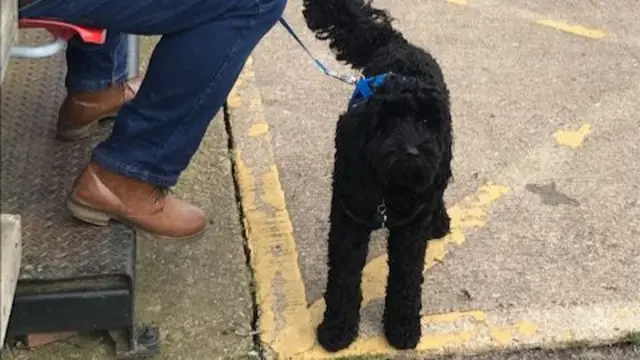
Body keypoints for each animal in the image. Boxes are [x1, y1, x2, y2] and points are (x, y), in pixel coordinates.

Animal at [302, 0, 452, 352]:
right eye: (388, 120)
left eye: (426, 122)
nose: (411, 151)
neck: (389, 187)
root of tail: (399, 44)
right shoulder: (349, 220)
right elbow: (343, 278)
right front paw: (337, 330)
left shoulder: (410, 230)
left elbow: (406, 279)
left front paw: (402, 328)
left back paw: (438, 220)